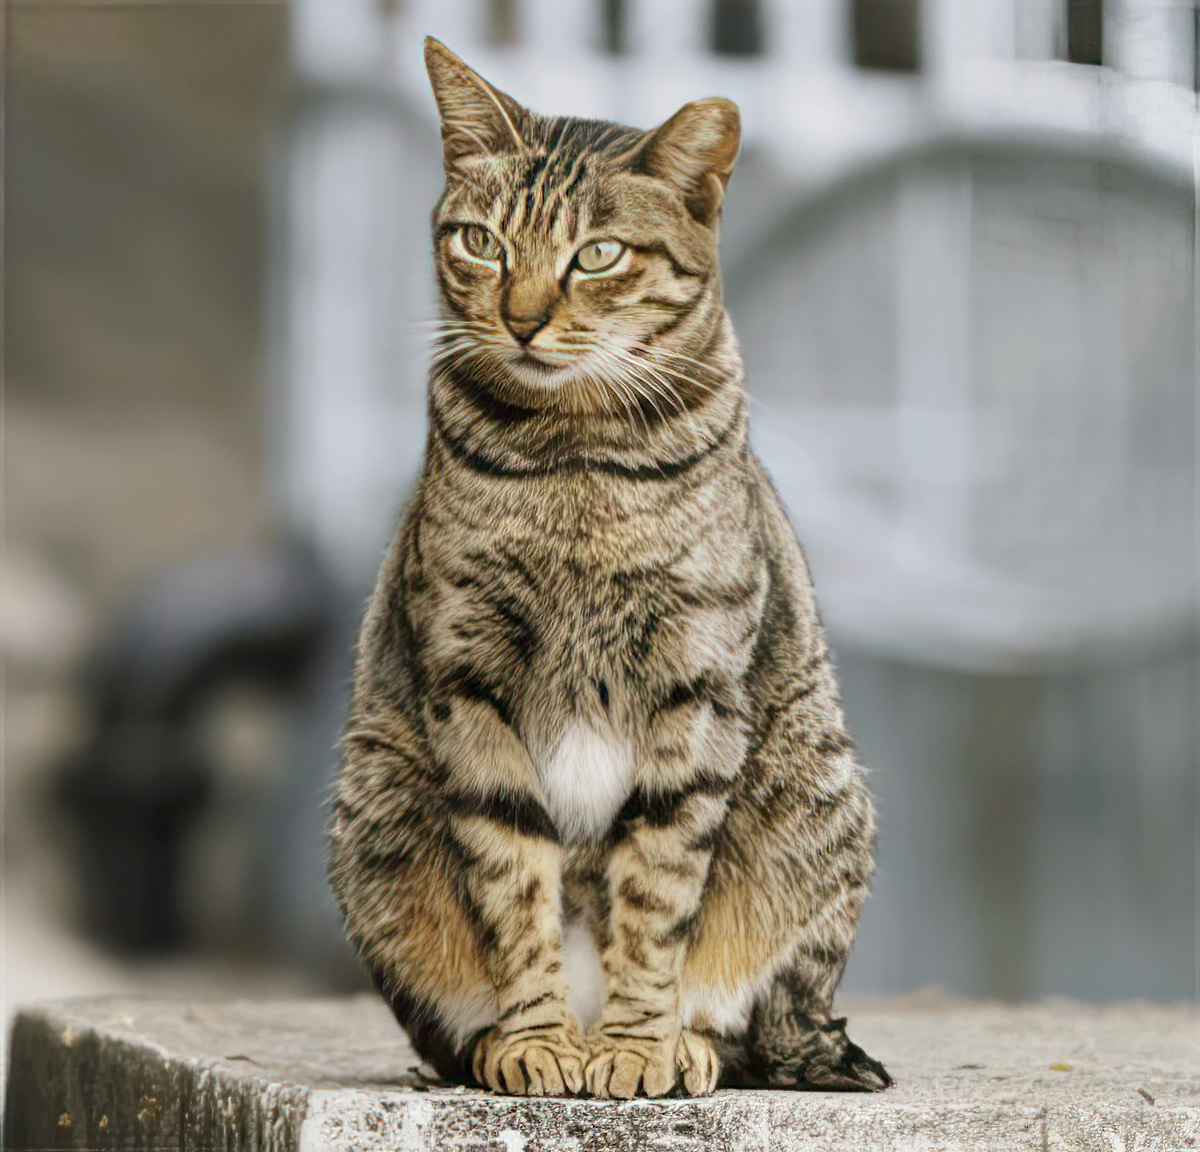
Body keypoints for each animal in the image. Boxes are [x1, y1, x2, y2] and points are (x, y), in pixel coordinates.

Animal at [328, 36, 892, 1099]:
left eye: (597, 255)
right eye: (482, 244)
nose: (521, 318)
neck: (577, 454)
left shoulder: (696, 682)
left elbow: (658, 887)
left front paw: (635, 1046)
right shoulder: (470, 676)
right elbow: (514, 881)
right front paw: (539, 1037)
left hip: (816, 798)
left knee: (761, 1021)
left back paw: (687, 1042)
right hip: (372, 821)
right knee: (446, 1029)